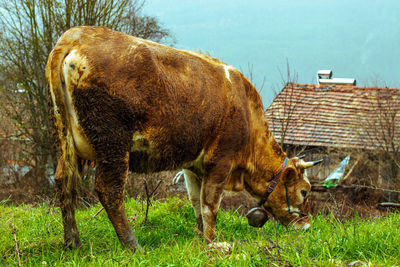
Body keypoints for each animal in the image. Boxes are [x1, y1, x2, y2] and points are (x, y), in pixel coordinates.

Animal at [47, 26, 320, 250]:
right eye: (305, 191)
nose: (307, 226)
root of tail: (77, 36)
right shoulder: (221, 160)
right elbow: (210, 205)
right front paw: (213, 241)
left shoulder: (192, 166)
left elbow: (196, 201)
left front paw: (200, 237)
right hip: (112, 144)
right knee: (109, 191)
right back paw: (132, 245)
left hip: (66, 141)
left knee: (64, 182)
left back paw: (73, 242)